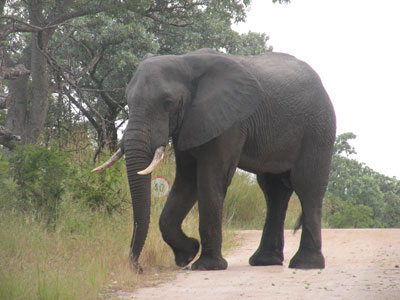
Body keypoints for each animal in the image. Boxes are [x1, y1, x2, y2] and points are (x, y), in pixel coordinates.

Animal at [92, 48, 336, 272]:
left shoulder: (231, 121)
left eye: (168, 102)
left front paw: (206, 266)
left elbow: (211, 179)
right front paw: (187, 255)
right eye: (128, 101)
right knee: (273, 191)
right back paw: (264, 262)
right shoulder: (191, 122)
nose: (138, 268)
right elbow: (187, 181)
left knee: (307, 186)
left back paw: (305, 265)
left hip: (319, 127)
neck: (185, 61)